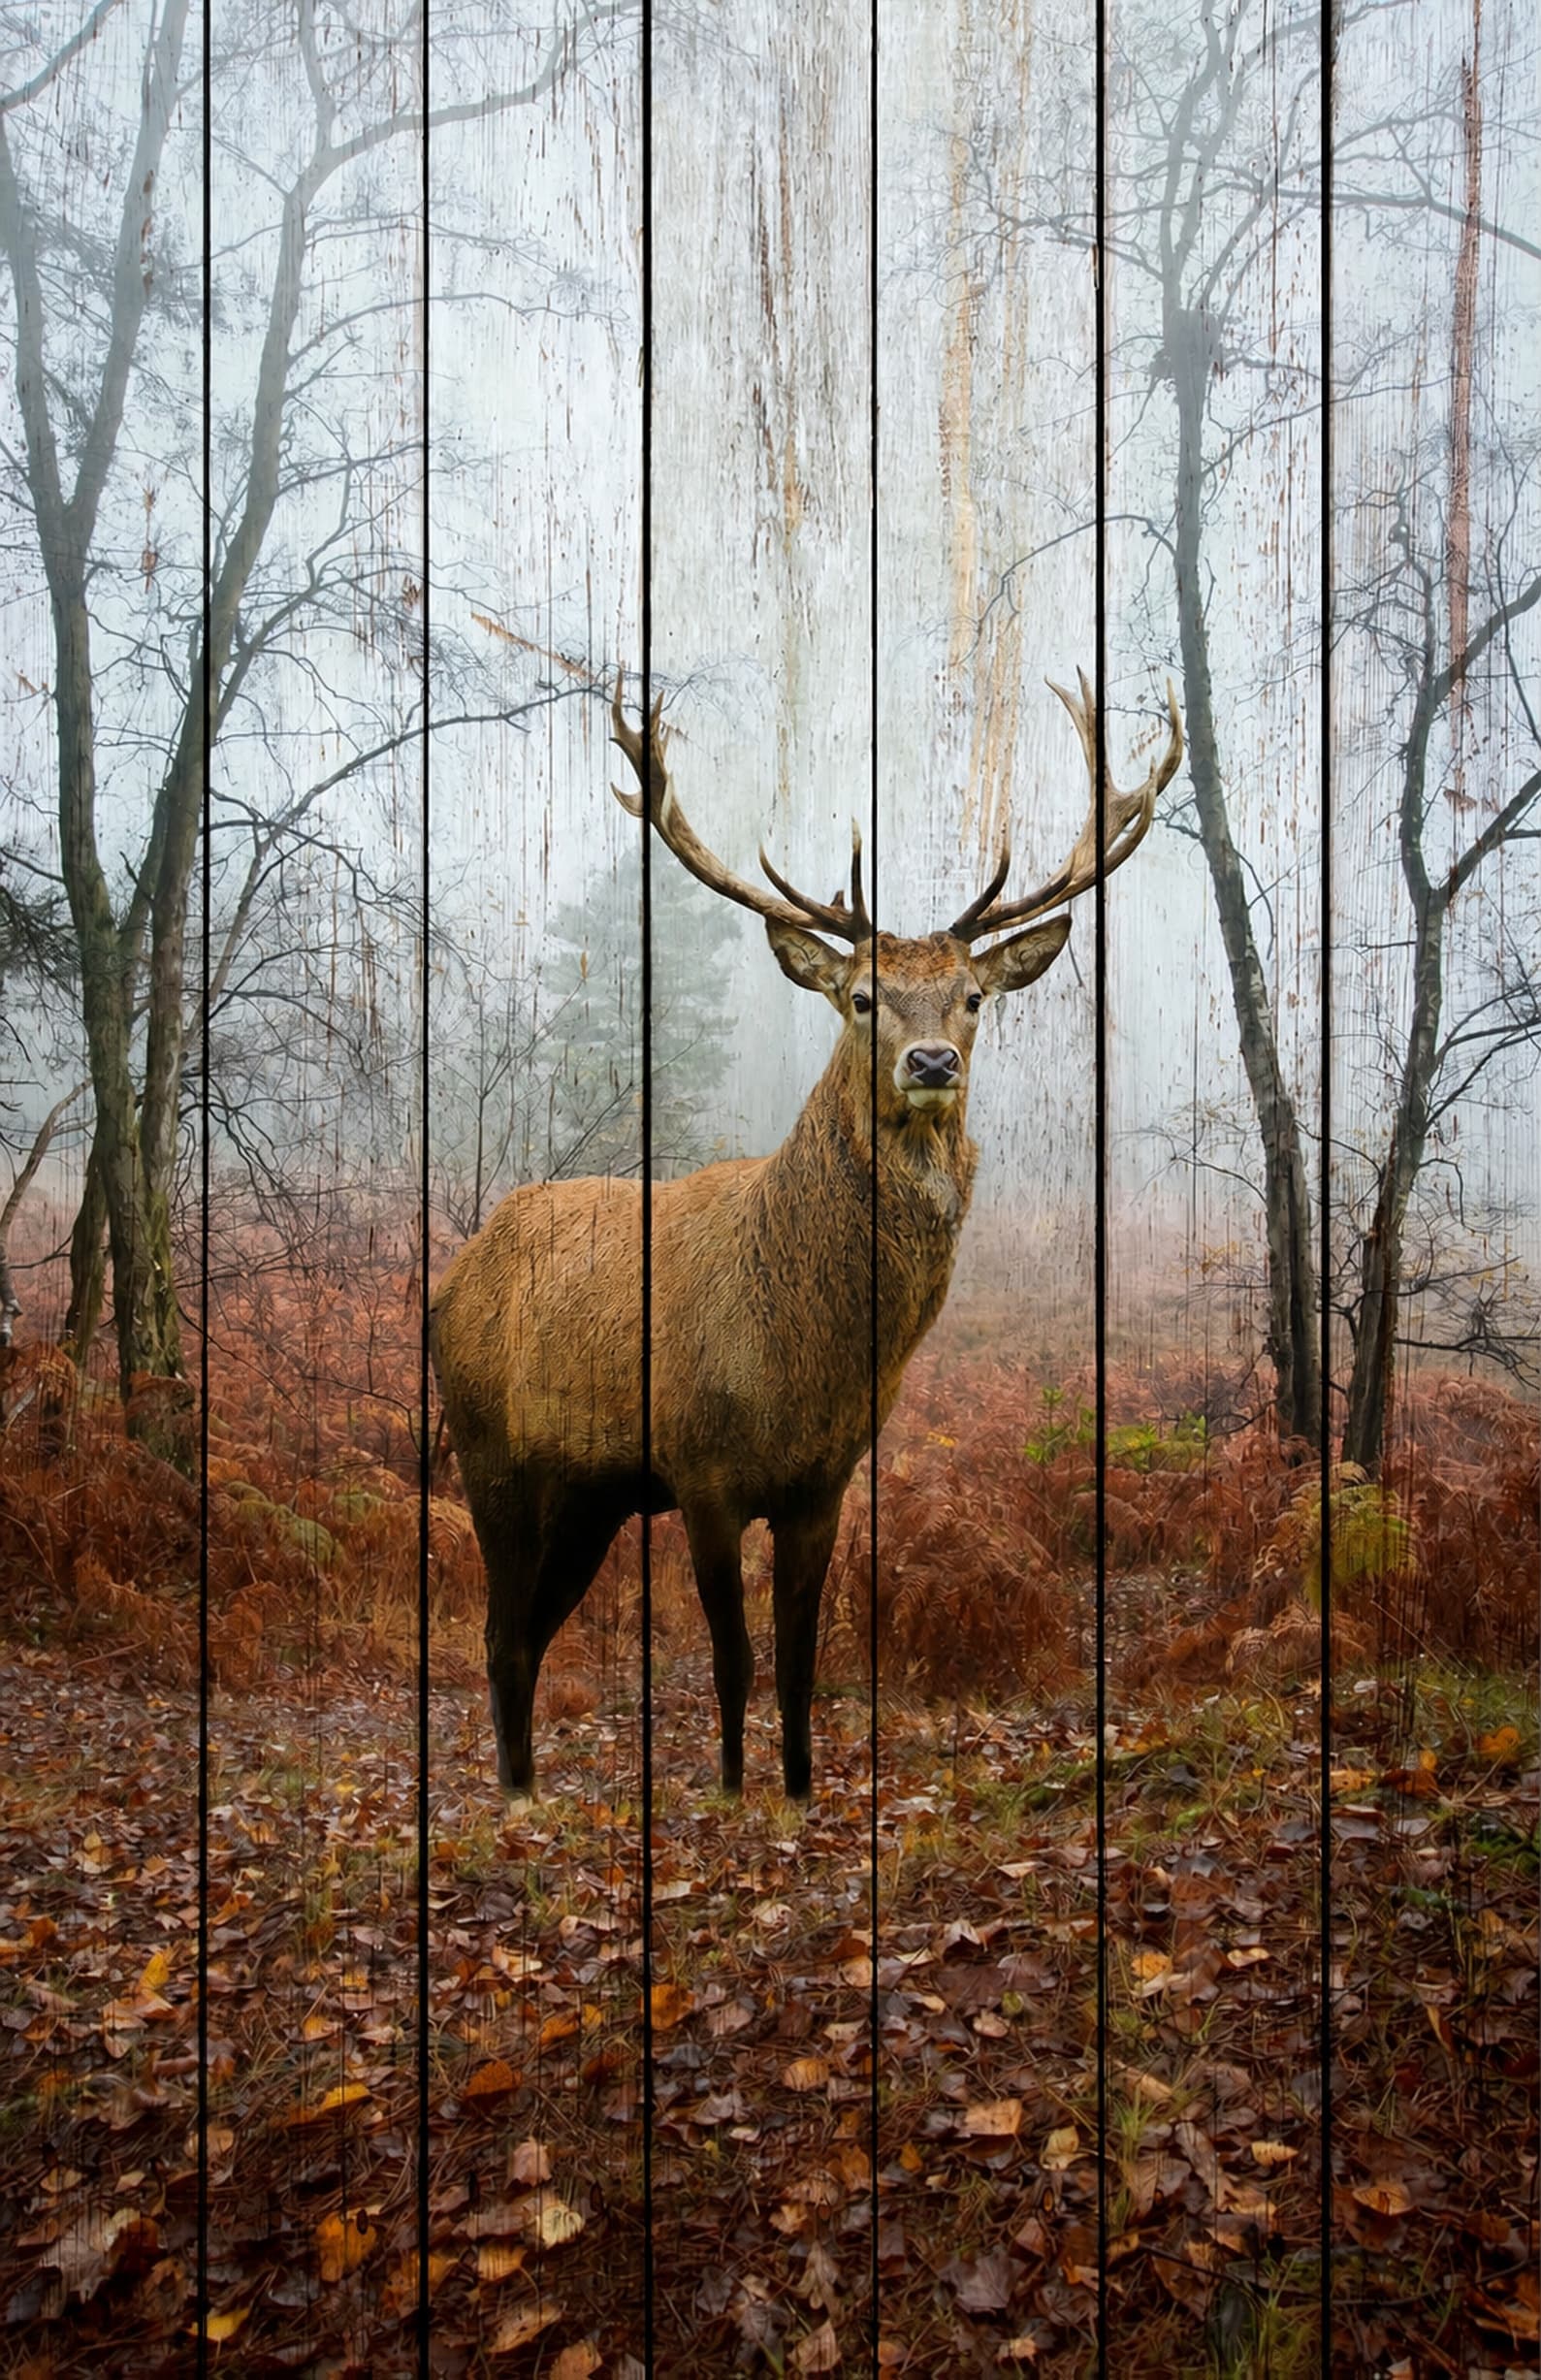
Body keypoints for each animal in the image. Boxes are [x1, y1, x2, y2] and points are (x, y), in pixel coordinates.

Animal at [430, 670, 1182, 1799]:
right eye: (861, 997)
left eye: (971, 997)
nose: (929, 1062)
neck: (799, 1356)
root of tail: (448, 1276)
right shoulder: (699, 1468)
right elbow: (733, 1659)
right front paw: (734, 1791)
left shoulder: (823, 1482)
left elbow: (798, 1660)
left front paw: (795, 1789)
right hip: (488, 1453)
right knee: (498, 1633)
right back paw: (516, 1798)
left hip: (589, 1494)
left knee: (525, 1631)